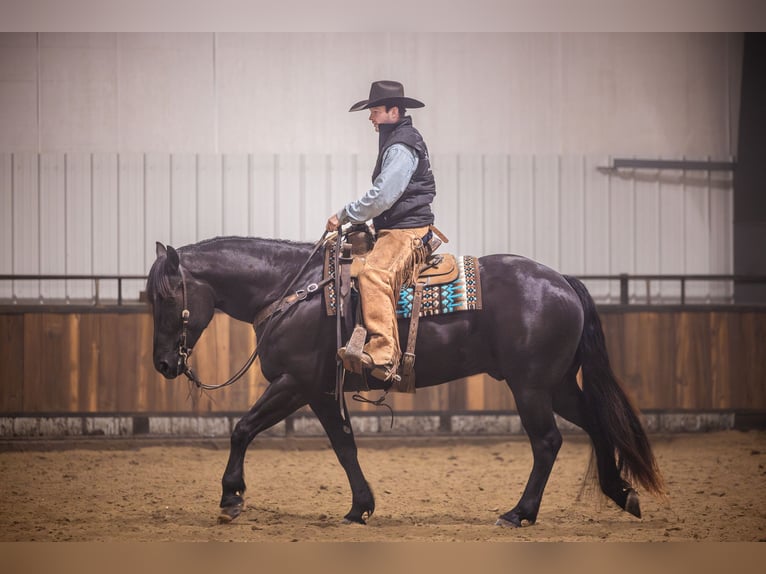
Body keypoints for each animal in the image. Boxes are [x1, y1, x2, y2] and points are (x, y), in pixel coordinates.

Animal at [146, 235, 664, 527]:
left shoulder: (294, 384)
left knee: (548, 442)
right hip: (556, 385)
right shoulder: (321, 393)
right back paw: (622, 494)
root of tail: (561, 280)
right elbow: (345, 447)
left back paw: (520, 513)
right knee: (596, 423)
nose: (163, 364)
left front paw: (230, 497)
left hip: (532, 387)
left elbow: (242, 429)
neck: (291, 289)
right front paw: (359, 508)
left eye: (166, 296)